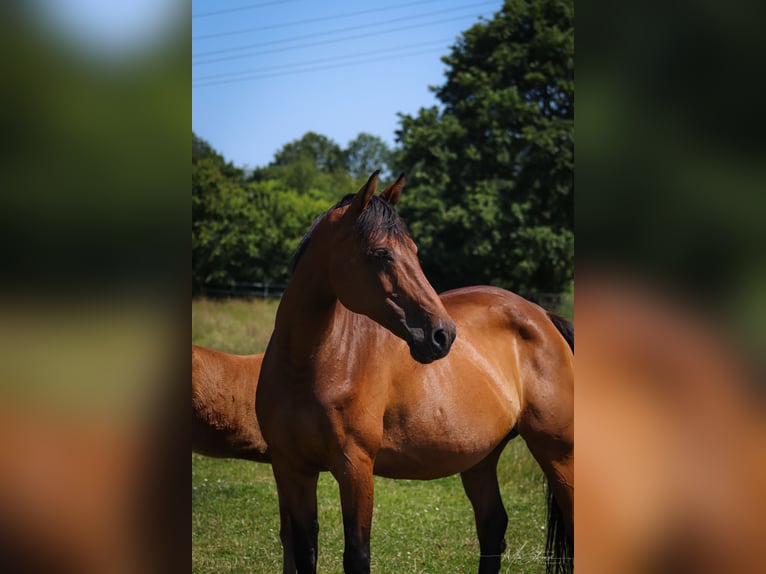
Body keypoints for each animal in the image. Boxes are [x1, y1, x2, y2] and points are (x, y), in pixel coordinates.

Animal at [256, 171, 574, 574]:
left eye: (415, 251)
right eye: (381, 253)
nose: (442, 334)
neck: (307, 365)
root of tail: (544, 315)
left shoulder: (355, 467)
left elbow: (357, 555)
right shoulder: (290, 468)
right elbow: (303, 550)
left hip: (559, 453)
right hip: (481, 458)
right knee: (492, 527)